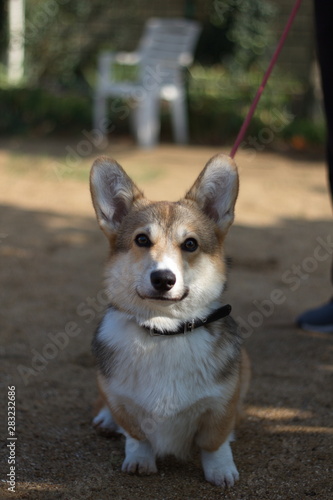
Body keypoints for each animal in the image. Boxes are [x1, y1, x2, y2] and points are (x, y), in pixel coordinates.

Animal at [89, 154, 248, 486]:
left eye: (190, 244)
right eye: (141, 239)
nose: (163, 279)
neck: (165, 331)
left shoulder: (221, 404)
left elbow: (214, 441)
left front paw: (221, 470)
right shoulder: (121, 401)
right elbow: (136, 435)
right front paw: (139, 459)